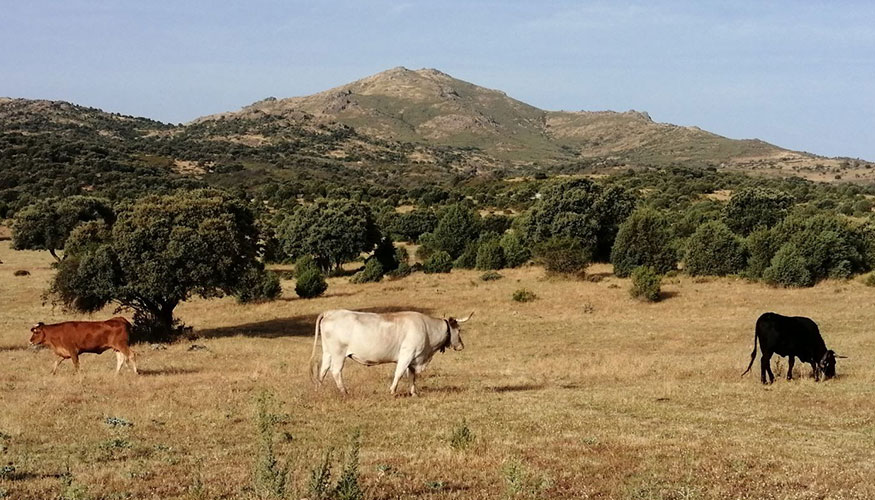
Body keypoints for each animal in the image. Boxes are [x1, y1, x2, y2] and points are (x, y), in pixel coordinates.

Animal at [308, 308, 472, 394]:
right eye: (459, 329)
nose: (462, 346)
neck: (427, 329)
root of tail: (331, 312)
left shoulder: (414, 359)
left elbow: (412, 376)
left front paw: (414, 393)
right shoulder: (407, 354)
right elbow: (399, 373)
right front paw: (392, 390)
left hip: (328, 352)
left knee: (323, 370)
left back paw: (319, 389)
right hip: (338, 354)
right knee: (335, 371)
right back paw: (344, 392)